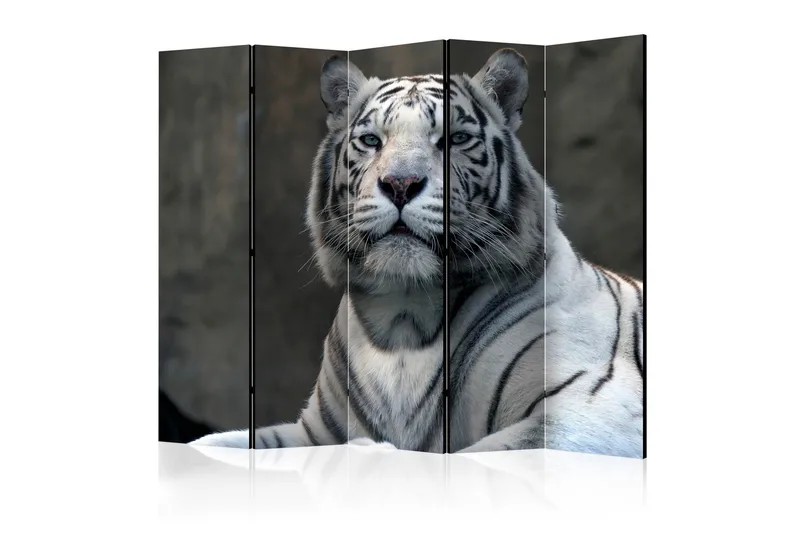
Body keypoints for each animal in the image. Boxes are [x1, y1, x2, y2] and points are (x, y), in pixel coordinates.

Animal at [189, 48, 645, 459]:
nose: (401, 184)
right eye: (371, 140)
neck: (401, 318)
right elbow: (214, 444)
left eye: (455, 139)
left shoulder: (591, 410)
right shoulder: (313, 431)